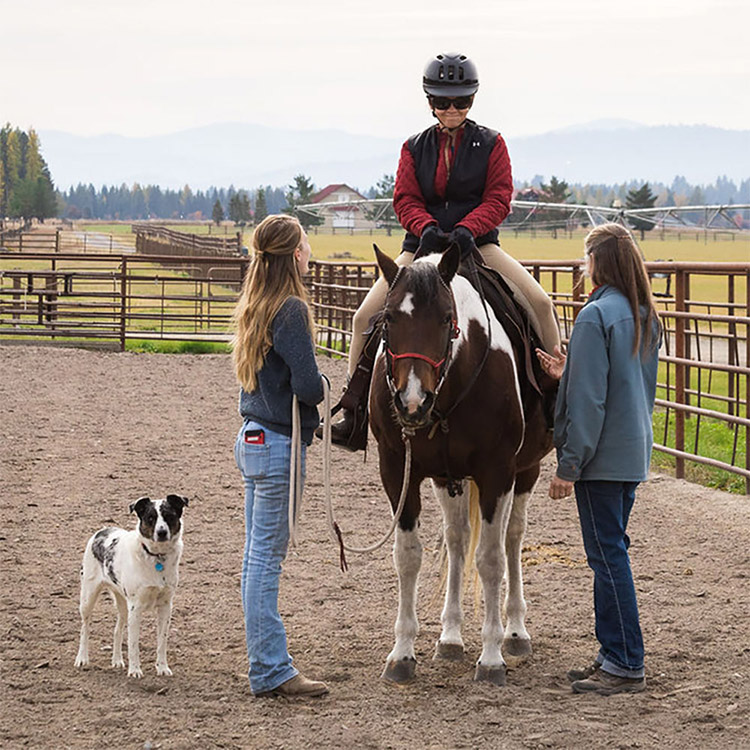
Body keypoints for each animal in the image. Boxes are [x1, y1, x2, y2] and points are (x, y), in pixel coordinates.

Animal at [75, 496, 189, 680]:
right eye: (150, 518)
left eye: (169, 516)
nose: (162, 532)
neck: (156, 557)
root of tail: (102, 531)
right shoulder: (136, 608)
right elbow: (133, 643)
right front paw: (135, 670)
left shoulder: (165, 607)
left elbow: (161, 642)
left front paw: (162, 667)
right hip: (88, 598)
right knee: (85, 628)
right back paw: (82, 658)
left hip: (122, 605)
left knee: (117, 630)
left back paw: (117, 660)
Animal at [368, 245, 556, 688]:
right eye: (389, 319)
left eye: (445, 319)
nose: (412, 402)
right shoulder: (397, 471)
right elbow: (409, 556)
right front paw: (402, 654)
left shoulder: (497, 472)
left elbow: (490, 559)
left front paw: (491, 658)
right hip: (444, 477)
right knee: (456, 540)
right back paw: (451, 637)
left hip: (524, 473)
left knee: (511, 539)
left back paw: (515, 632)